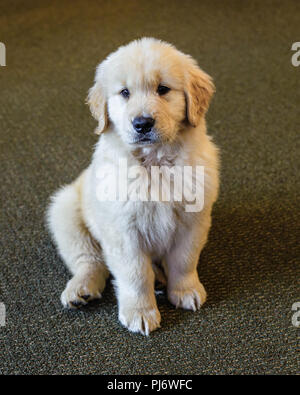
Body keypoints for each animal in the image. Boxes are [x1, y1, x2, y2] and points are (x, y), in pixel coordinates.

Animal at [46, 37, 218, 336]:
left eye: (163, 89)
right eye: (124, 93)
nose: (142, 123)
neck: (155, 162)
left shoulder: (193, 220)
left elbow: (184, 260)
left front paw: (185, 290)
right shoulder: (123, 230)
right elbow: (135, 274)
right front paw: (140, 312)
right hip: (65, 211)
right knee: (90, 260)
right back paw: (81, 289)